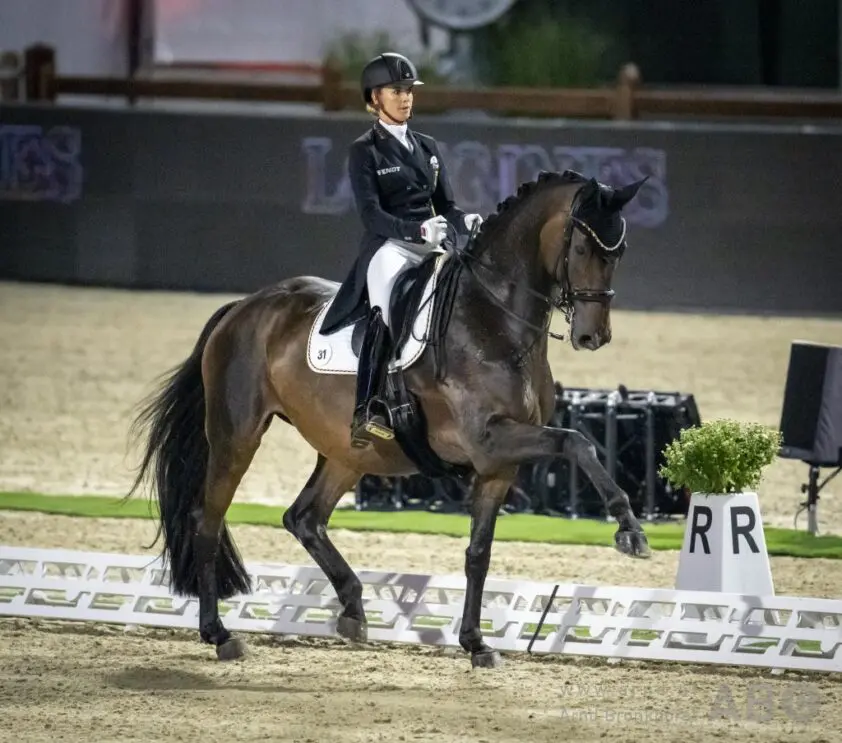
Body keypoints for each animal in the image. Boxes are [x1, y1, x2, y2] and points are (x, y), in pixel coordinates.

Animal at [127, 168, 651, 669]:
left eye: (620, 250)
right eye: (581, 246)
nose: (592, 336)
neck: (493, 320)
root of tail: (244, 306)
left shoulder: (497, 465)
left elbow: (478, 554)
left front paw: (475, 643)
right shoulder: (490, 439)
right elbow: (576, 441)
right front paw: (630, 530)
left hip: (347, 451)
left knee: (304, 517)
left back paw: (353, 611)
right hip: (237, 435)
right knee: (208, 520)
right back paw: (220, 634)